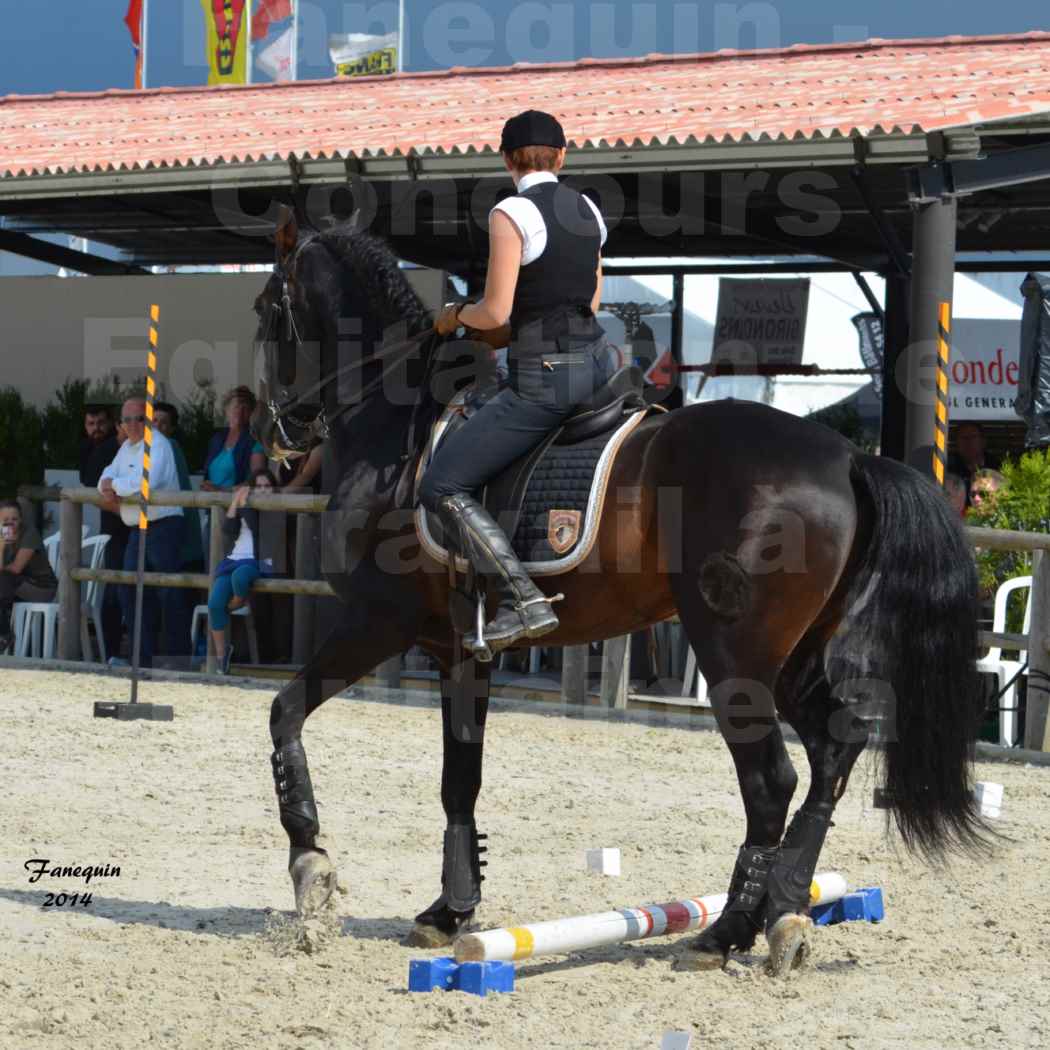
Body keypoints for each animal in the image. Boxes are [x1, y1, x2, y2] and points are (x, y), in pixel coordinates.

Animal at [249, 204, 986, 974]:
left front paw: (310, 871)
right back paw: (784, 914)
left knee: (772, 781)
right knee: (833, 752)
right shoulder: (459, 649)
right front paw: (449, 912)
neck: (395, 428)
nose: (277, 437)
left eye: (267, 308)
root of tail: (846, 456)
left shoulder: (375, 622)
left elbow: (284, 714)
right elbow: (460, 780)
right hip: (792, 655)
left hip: (733, 653)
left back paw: (726, 932)